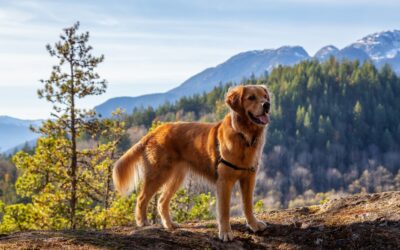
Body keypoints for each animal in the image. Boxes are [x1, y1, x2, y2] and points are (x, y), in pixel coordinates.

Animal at [113, 85, 272, 241]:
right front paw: (226, 232)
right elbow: (224, 210)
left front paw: (254, 224)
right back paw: (142, 222)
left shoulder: (249, 178)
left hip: (176, 177)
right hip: (158, 174)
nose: (267, 105)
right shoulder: (224, 181)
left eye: (264, 96)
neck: (243, 135)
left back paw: (169, 224)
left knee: (161, 201)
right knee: (141, 198)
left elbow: (248, 205)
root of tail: (154, 132)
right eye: (251, 97)